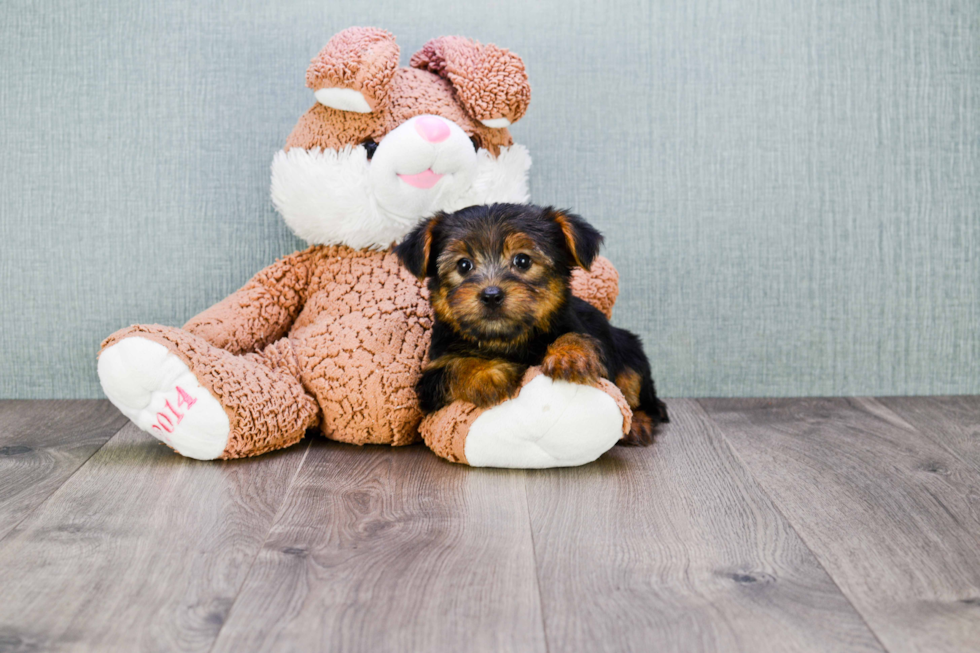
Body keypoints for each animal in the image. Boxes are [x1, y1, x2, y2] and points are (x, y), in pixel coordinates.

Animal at [394, 202, 668, 444]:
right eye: (463, 265)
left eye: (522, 261)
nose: (491, 295)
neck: (506, 340)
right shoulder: (431, 379)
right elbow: (455, 366)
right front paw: (486, 374)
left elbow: (577, 337)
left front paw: (570, 354)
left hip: (629, 350)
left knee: (641, 394)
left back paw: (638, 424)